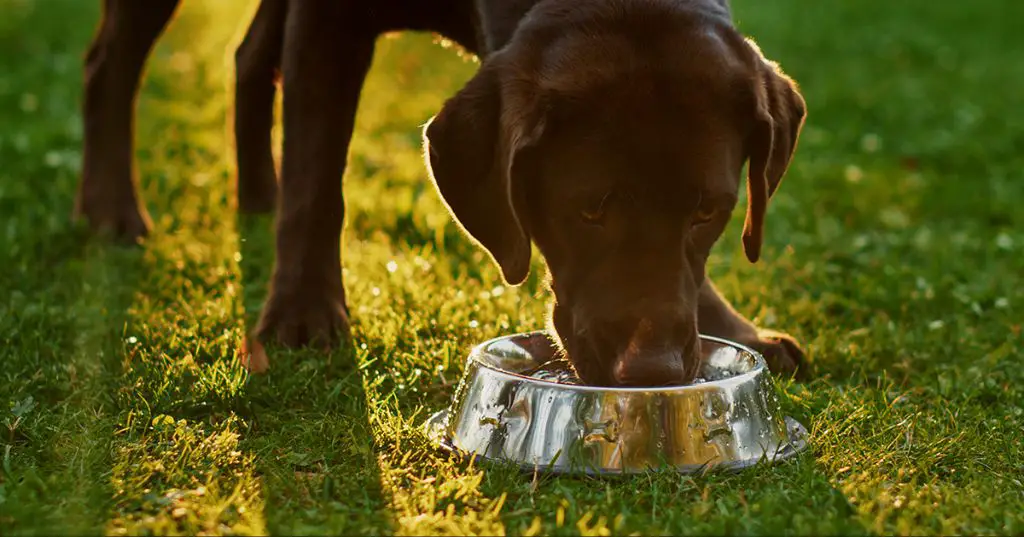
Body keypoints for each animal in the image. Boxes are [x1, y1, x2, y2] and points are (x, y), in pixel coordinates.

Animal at [79, 0, 806, 385]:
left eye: (709, 210)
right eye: (589, 209)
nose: (651, 370)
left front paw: (733, 328)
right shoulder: (329, 17)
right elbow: (317, 181)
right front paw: (302, 315)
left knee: (249, 55)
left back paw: (258, 193)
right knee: (109, 58)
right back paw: (110, 209)